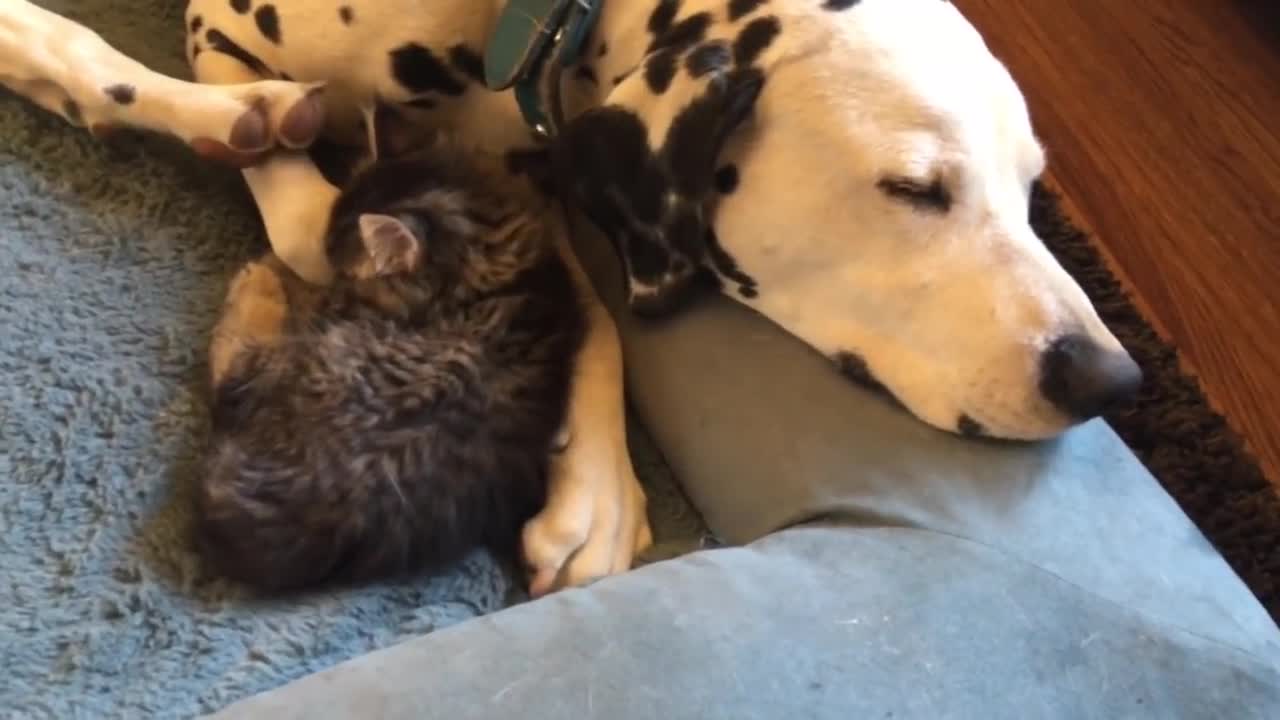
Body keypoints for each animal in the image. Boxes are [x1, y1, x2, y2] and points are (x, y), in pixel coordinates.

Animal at [193, 133, 586, 589]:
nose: (328, 262)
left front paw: (280, 265)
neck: (499, 275)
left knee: (231, 363)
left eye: (340, 262)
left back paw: (258, 280)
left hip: (291, 367)